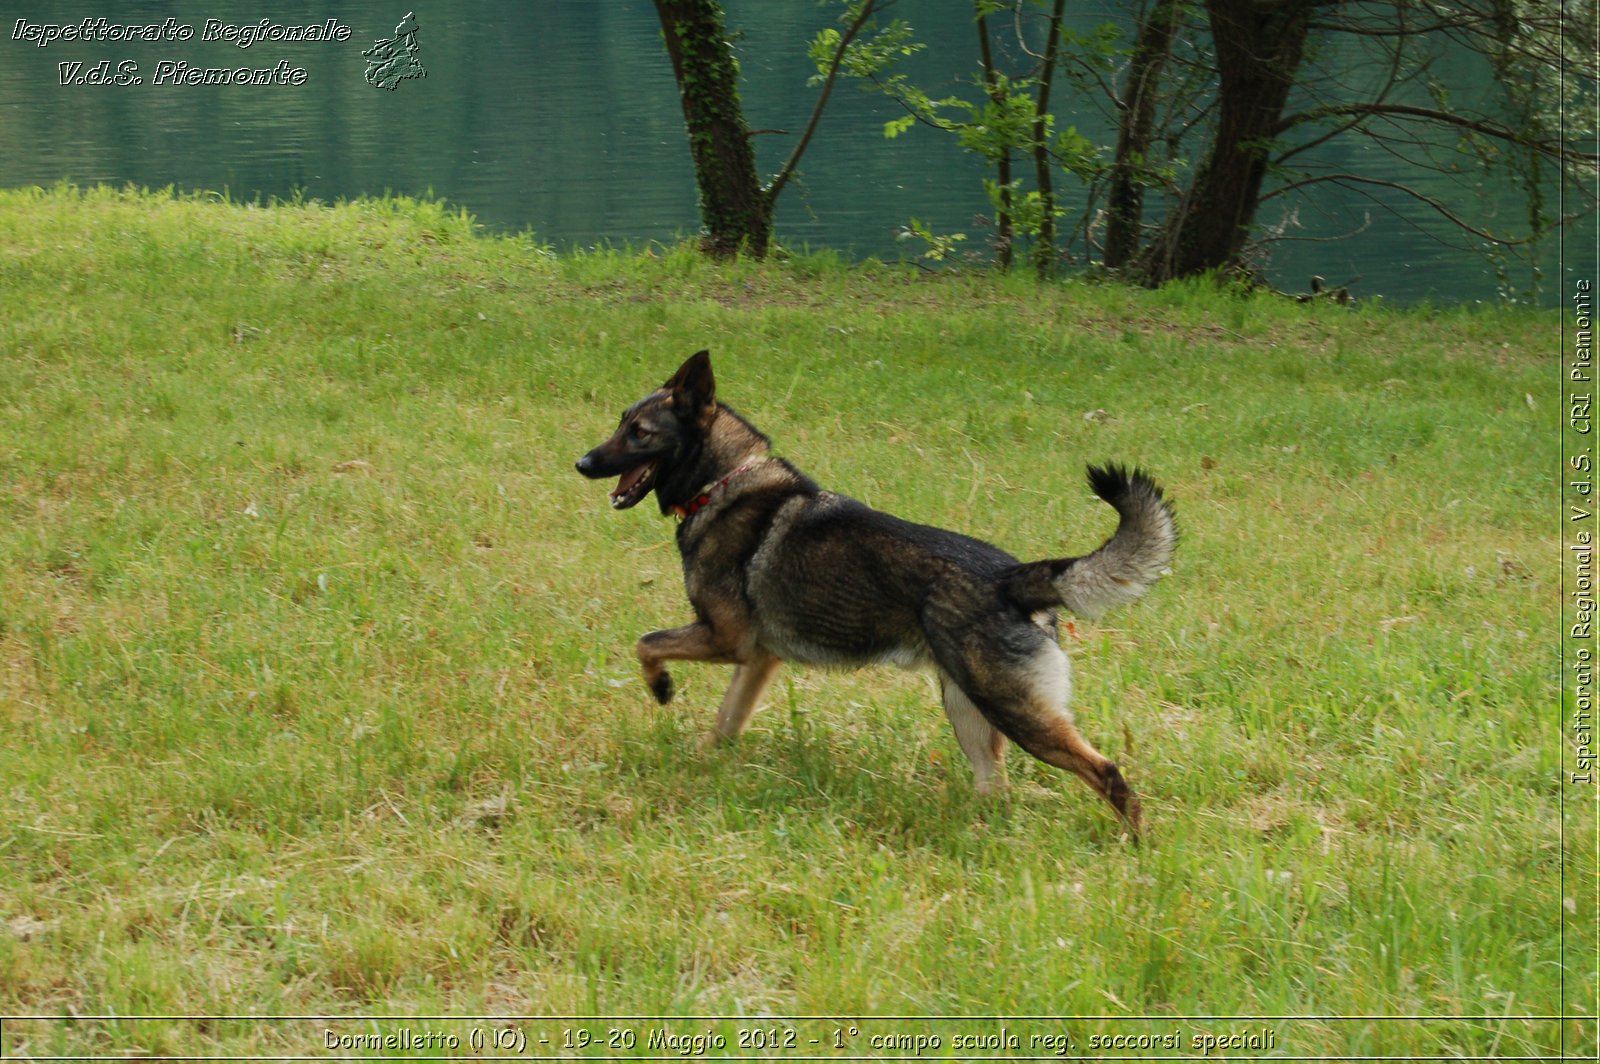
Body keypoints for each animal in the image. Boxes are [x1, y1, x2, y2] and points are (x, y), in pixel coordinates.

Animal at [576, 352, 1177, 832]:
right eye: (622, 423)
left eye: (640, 432)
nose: (581, 463)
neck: (721, 484)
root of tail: (1013, 578)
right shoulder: (758, 659)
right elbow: (724, 724)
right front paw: (701, 764)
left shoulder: (727, 640)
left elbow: (646, 643)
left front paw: (661, 688)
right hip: (969, 712)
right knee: (996, 789)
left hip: (1016, 713)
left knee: (1108, 773)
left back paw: (1134, 847)